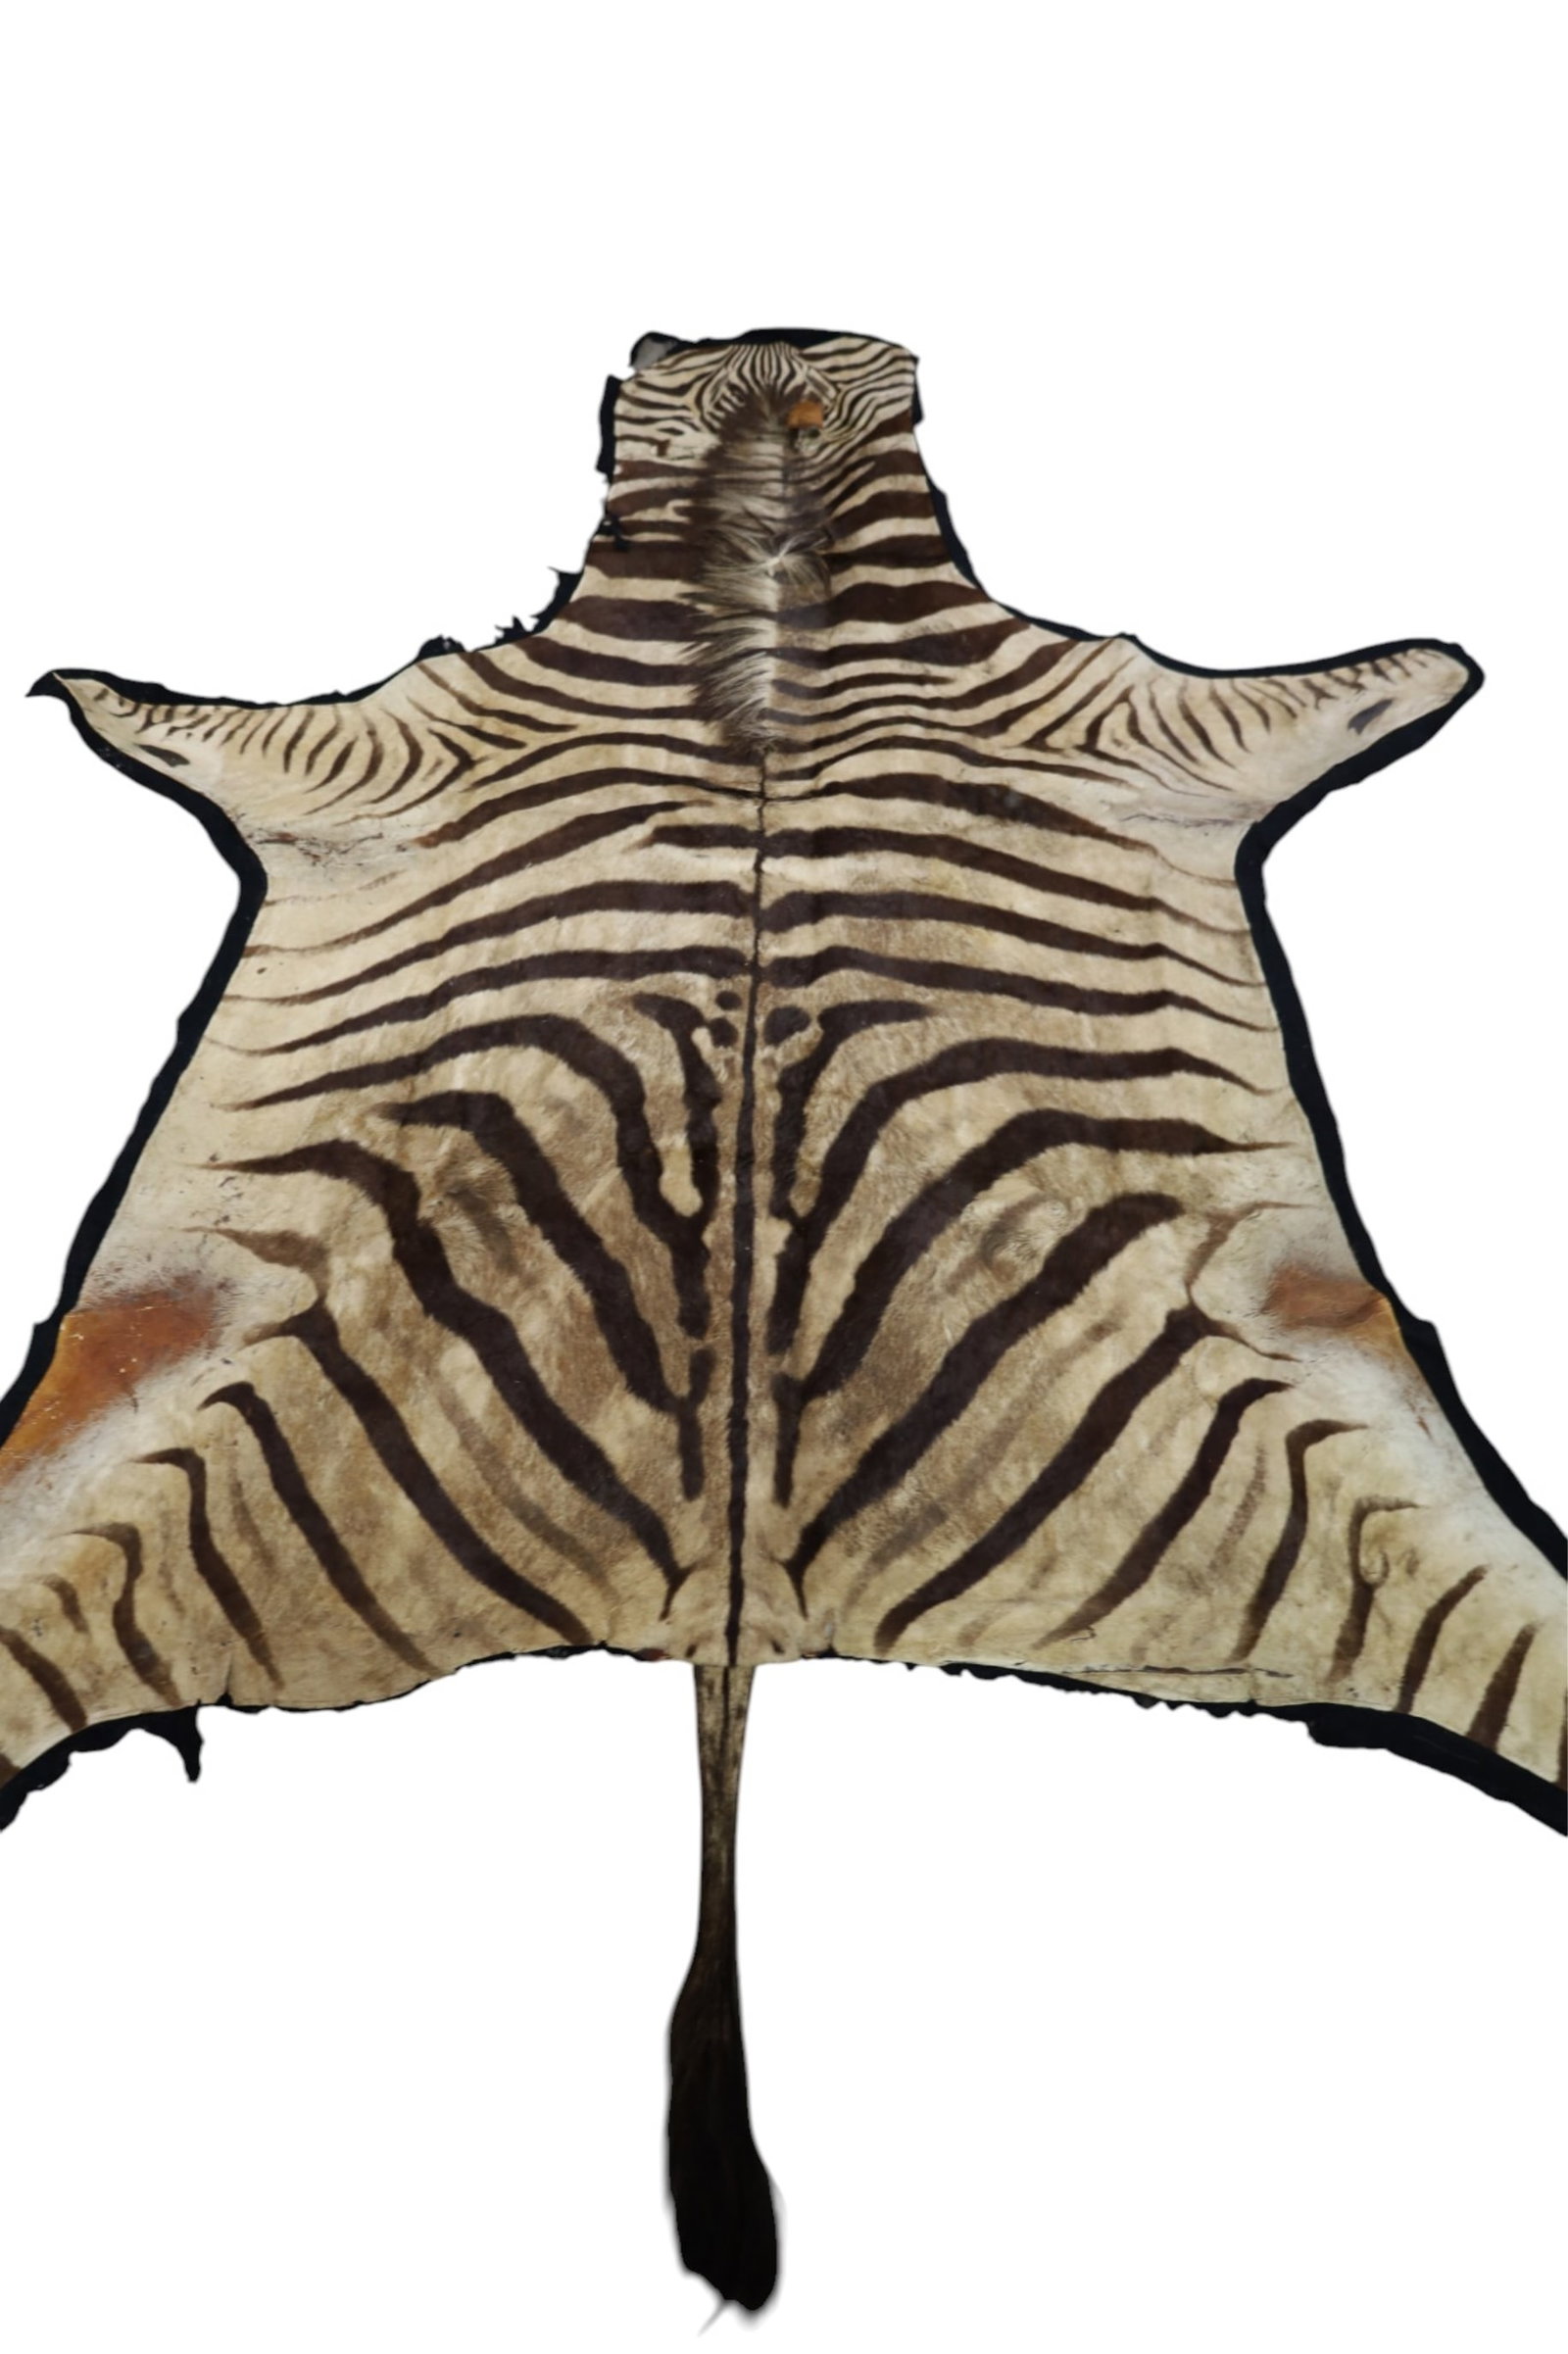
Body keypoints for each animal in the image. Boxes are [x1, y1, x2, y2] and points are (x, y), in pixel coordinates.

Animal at [3, 327, 1563, 2308]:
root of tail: (727, 1605)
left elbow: (1350, 682)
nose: (775, 345)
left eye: (836, 394)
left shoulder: (1134, 719)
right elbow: (195, 715)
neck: (770, 587)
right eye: (668, 378)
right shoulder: (384, 749)